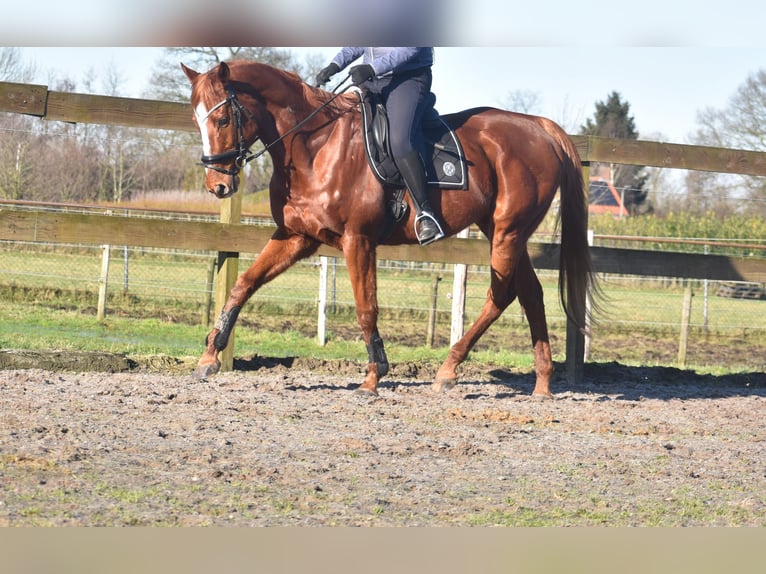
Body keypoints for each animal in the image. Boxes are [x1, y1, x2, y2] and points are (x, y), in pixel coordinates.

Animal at [183, 59, 596, 400]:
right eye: (197, 119)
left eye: (223, 120)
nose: (217, 186)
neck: (315, 146)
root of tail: (539, 127)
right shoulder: (298, 238)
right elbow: (243, 284)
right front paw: (209, 356)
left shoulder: (358, 240)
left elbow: (366, 308)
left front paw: (373, 377)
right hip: (501, 231)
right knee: (530, 294)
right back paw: (541, 384)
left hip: (508, 232)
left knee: (502, 293)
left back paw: (449, 369)